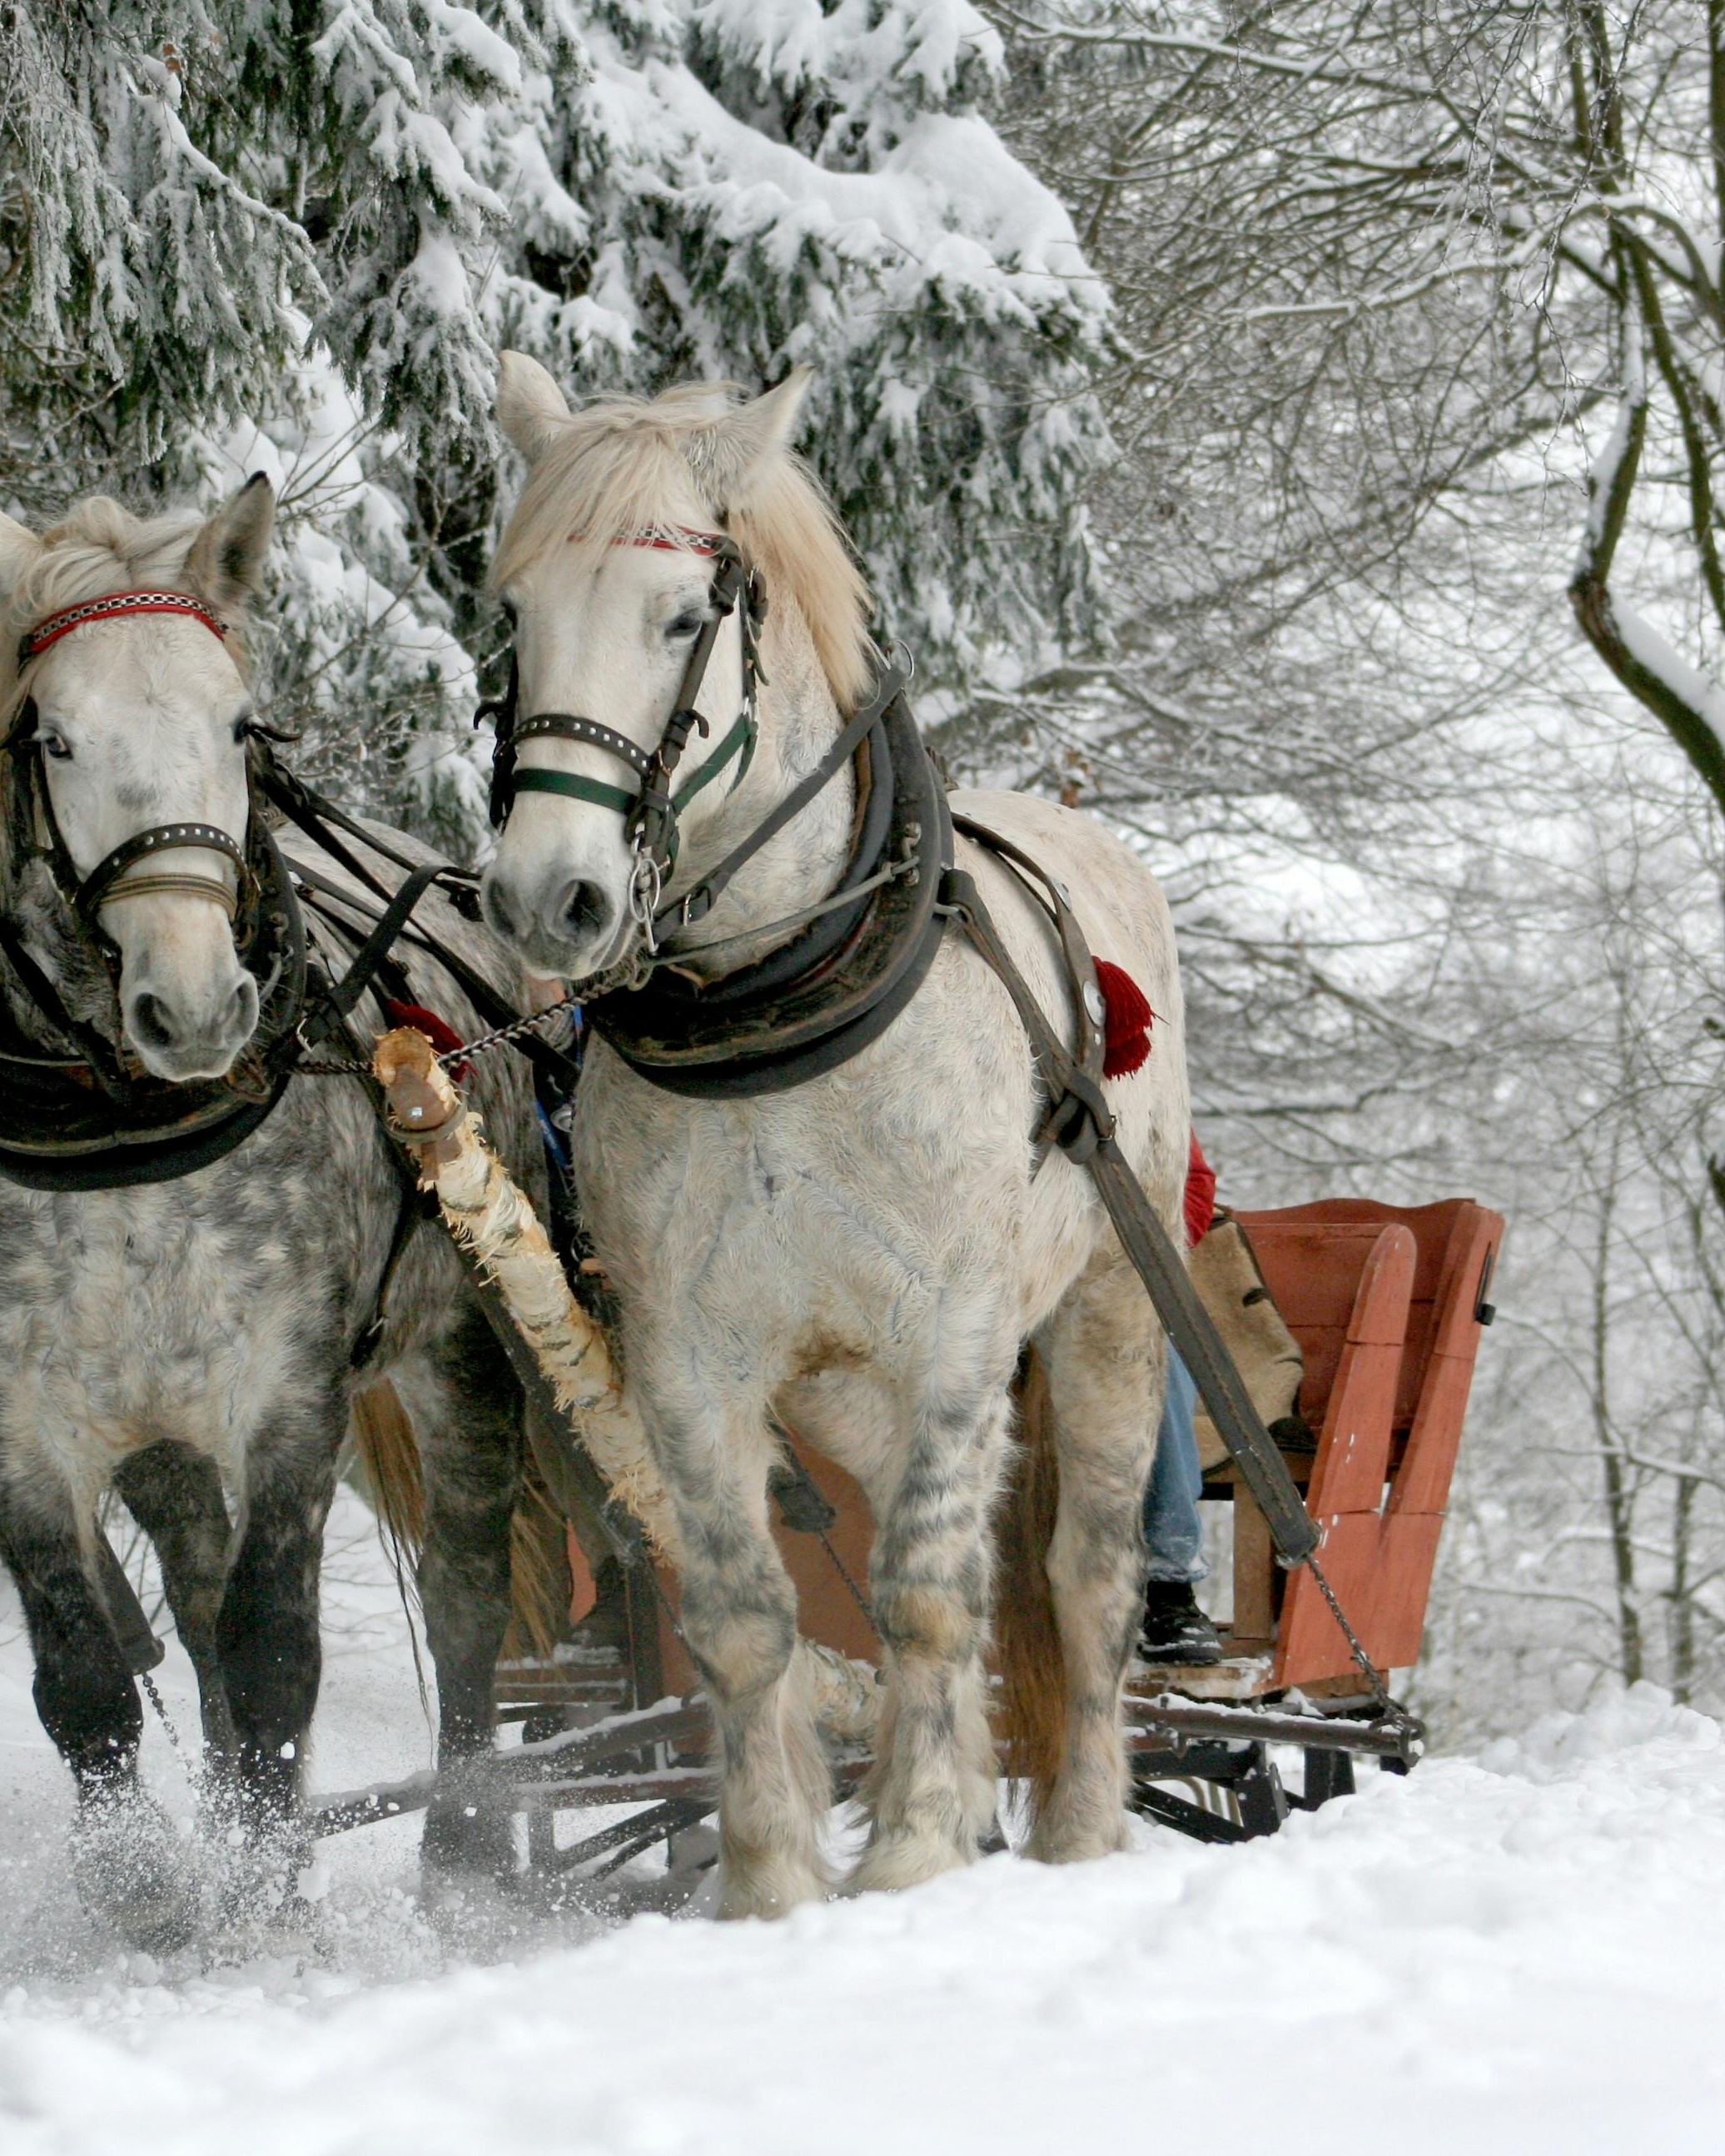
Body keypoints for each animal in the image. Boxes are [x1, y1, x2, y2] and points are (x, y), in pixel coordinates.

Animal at [0, 483, 540, 1948]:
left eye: (239, 725)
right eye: (54, 737)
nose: (195, 1007)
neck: (124, 1129)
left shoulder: (290, 1389)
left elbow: (275, 1646)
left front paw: (265, 1890)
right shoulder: (25, 1421)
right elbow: (85, 1669)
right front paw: (152, 1884)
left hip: (461, 1347)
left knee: (466, 1592)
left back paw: (464, 1848)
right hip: (162, 1425)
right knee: (189, 1595)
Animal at [480, 356, 1190, 1917]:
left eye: (683, 616)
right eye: (513, 615)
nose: (548, 899)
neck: (778, 1010)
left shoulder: (958, 1333)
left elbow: (926, 1591)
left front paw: (915, 1849)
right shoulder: (688, 1359)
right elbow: (749, 1615)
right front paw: (770, 1881)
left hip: (1108, 1306)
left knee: (1081, 1572)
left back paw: (1079, 1826)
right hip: (845, 1388)